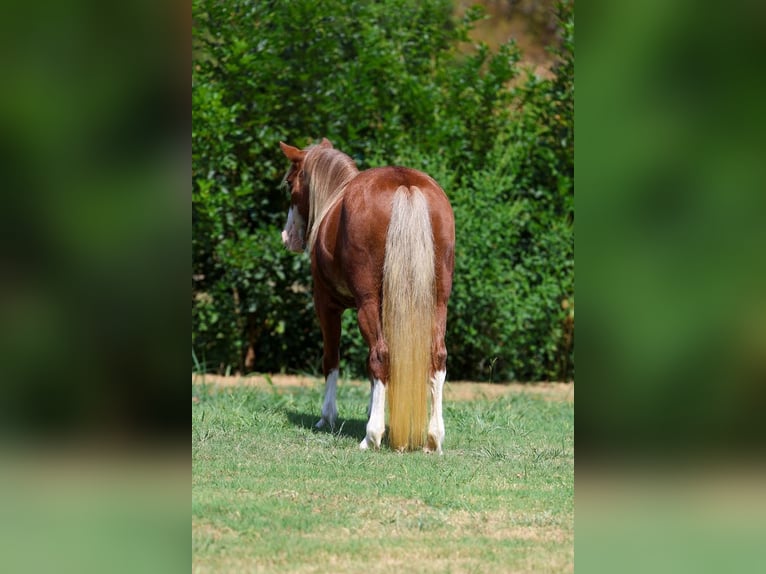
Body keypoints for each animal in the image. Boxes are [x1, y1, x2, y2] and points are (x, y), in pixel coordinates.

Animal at [279, 138, 455, 452]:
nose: (288, 238)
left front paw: (327, 417)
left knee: (380, 356)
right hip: (437, 303)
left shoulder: (326, 304)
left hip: (367, 304)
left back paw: (371, 437)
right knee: (436, 357)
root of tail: (405, 184)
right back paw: (433, 439)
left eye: (289, 183)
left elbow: (332, 359)